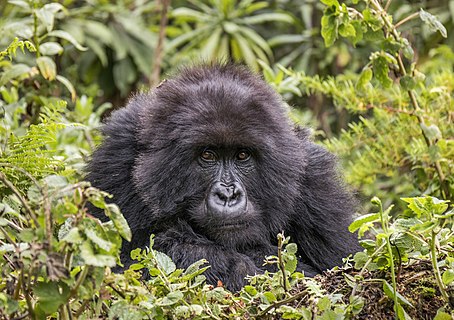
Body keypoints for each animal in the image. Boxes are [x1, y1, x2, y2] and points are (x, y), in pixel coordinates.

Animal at [87, 63, 360, 292]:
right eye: (208, 155)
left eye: (242, 155)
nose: (228, 194)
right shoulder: (116, 161)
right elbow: (117, 269)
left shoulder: (316, 183)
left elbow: (346, 270)